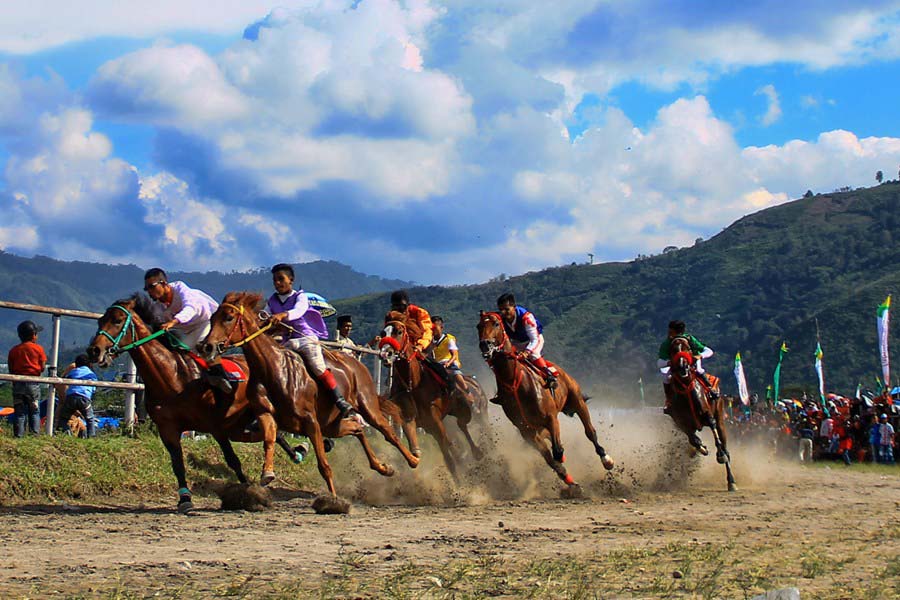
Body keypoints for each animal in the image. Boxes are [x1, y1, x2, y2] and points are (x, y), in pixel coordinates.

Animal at [86, 298, 290, 512]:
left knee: (272, 433)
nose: (94, 350)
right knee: (271, 434)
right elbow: (178, 463)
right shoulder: (167, 428)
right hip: (239, 424)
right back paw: (297, 453)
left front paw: (249, 491)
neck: (172, 377)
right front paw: (185, 498)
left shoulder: (215, 426)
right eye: (100, 321)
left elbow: (233, 460)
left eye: (117, 320)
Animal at [199, 292, 420, 496]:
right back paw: (383, 467)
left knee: (388, 432)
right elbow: (270, 439)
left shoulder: (311, 421)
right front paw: (267, 473)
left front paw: (333, 498)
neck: (273, 370)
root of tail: (355, 362)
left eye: (228, 317)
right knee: (357, 429)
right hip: (332, 424)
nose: (207, 347)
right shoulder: (266, 414)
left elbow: (323, 464)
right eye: (212, 318)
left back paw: (414, 460)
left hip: (366, 405)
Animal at [376, 312, 482, 480]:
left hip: (461, 409)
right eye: (383, 333)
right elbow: (416, 448)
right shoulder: (414, 419)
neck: (414, 383)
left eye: (399, 331)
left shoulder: (434, 417)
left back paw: (476, 452)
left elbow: (447, 446)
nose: (386, 354)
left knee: (462, 425)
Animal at [474, 312, 616, 494]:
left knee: (590, 432)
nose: (485, 344)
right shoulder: (526, 430)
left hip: (577, 401)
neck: (514, 381)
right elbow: (550, 459)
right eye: (479, 326)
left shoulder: (550, 418)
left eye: (496, 324)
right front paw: (571, 483)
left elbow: (557, 451)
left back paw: (607, 460)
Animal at [668, 336, 740, 490]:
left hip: (720, 414)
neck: (686, 392)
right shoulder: (680, 421)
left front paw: (720, 455)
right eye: (673, 350)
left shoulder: (708, 414)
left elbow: (715, 433)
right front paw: (700, 448)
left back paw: (731, 479)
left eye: (687, 348)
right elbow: (693, 439)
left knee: (723, 441)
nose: (682, 367)